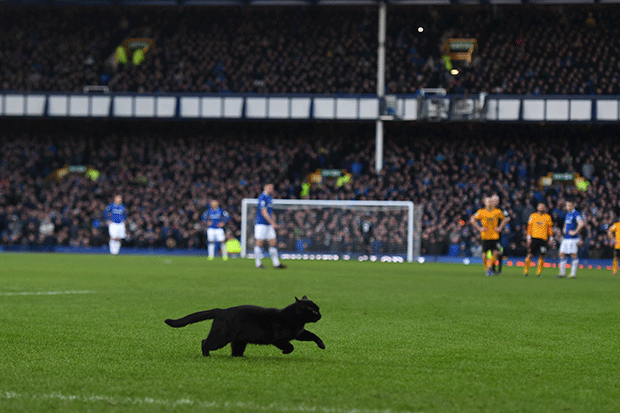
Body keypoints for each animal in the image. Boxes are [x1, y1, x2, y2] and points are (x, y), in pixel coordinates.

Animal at [165, 294, 330, 356]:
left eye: (318, 309)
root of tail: (221, 310)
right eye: (314, 311)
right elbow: (290, 346)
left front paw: (322, 345)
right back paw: (207, 355)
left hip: (239, 341)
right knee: (205, 342)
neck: (296, 320)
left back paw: (241, 357)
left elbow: (313, 335)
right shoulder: (278, 339)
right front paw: (285, 352)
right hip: (220, 338)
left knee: (235, 351)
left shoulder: (300, 333)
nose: (320, 315)